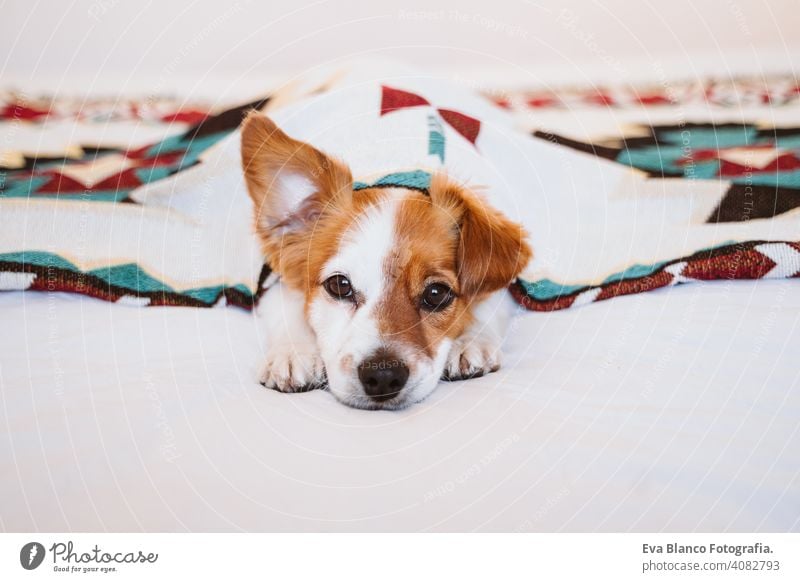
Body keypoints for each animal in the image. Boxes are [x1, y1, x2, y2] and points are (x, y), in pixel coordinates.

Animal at [242, 105, 532, 410]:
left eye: (437, 293)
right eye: (339, 286)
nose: (382, 376)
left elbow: (491, 298)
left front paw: (469, 340)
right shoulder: (273, 281)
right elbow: (287, 305)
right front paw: (294, 351)